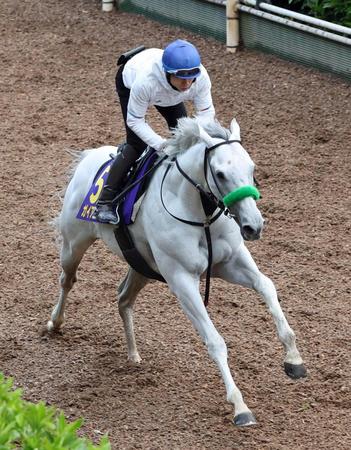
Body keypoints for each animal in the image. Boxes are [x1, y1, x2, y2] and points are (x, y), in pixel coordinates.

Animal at [48, 116, 306, 426]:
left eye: (252, 168)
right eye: (220, 174)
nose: (253, 226)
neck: (199, 213)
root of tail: (91, 156)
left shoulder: (231, 263)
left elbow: (267, 285)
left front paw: (294, 360)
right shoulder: (182, 280)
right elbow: (214, 340)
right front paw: (240, 406)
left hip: (142, 266)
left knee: (123, 299)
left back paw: (133, 353)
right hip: (74, 243)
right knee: (67, 279)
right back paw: (54, 323)